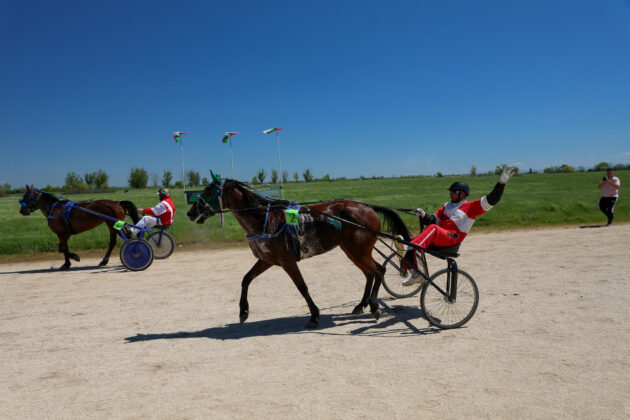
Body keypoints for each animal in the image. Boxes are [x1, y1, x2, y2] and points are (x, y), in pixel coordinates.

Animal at [187, 174, 411, 328]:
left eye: (208, 190)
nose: (190, 212)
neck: (265, 220)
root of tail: (366, 206)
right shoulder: (267, 260)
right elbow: (246, 279)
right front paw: (243, 311)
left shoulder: (287, 262)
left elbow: (302, 287)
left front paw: (314, 316)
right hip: (351, 250)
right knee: (369, 273)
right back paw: (361, 305)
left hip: (359, 250)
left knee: (379, 270)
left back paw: (373, 306)